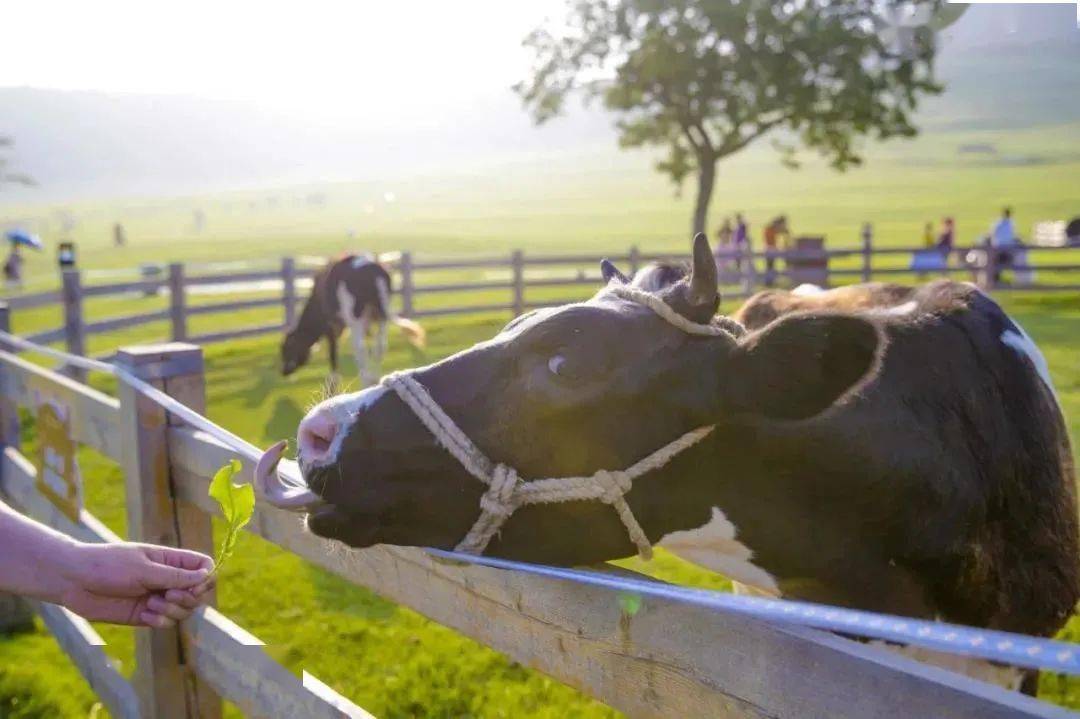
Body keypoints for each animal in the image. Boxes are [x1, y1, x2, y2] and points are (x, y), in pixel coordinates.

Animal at [280, 253, 423, 384]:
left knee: (360, 347)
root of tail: (371, 268)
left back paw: (366, 381)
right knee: (380, 346)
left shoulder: (331, 324)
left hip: (355, 318)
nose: (284, 372)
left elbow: (333, 353)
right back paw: (375, 379)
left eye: (287, 348)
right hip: (381, 313)